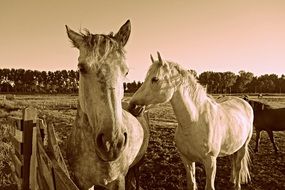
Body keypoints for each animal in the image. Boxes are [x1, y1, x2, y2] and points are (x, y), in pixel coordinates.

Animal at [64, 20, 149, 189]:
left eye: (126, 71)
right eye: (81, 68)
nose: (111, 143)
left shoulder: (117, 180)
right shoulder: (82, 181)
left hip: (138, 163)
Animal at [127, 52, 252, 190]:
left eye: (154, 79)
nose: (132, 106)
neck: (195, 123)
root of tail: (243, 102)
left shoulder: (210, 162)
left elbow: (209, 186)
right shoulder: (187, 160)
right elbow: (191, 183)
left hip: (243, 147)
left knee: (239, 166)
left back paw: (237, 184)